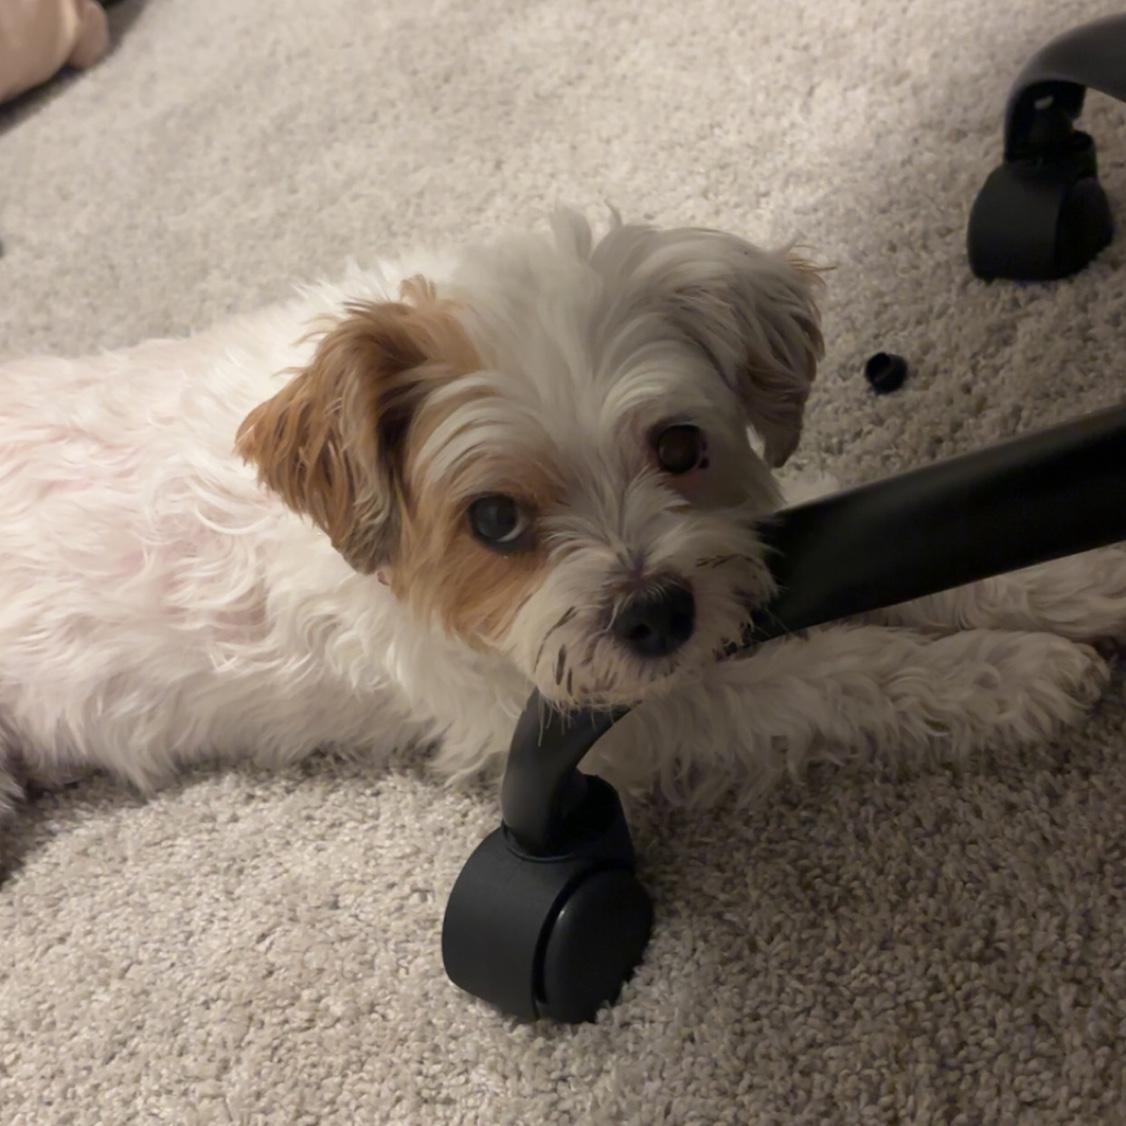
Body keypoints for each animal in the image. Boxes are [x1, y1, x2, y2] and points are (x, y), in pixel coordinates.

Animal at [1, 210, 1123, 819]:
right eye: (494, 518)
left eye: (680, 447)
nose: (657, 614)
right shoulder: (588, 710)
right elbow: (831, 672)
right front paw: (1005, 673)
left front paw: (1072, 573)